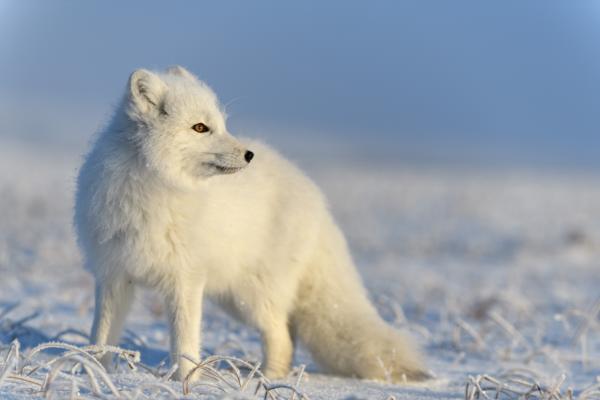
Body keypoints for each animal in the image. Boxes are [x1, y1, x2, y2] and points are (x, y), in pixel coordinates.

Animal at [74, 67, 426, 382]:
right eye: (200, 127)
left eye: (222, 124)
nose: (248, 155)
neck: (156, 188)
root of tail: (316, 197)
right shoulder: (113, 277)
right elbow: (100, 335)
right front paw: (93, 372)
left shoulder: (185, 280)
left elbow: (185, 343)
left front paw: (187, 382)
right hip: (234, 298)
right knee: (289, 333)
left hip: (252, 297)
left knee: (281, 336)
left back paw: (266, 379)